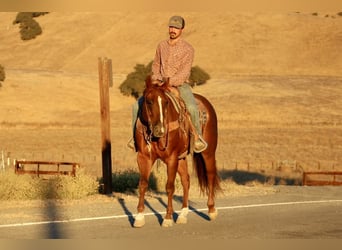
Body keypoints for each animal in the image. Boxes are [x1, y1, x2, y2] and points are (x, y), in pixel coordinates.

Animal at [132, 75, 220, 228]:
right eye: (149, 102)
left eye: (166, 103)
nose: (160, 130)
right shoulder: (144, 157)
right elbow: (143, 184)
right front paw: (139, 217)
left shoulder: (171, 158)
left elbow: (169, 187)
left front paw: (167, 217)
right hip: (181, 158)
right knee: (186, 180)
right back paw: (183, 214)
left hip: (208, 152)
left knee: (210, 175)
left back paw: (211, 210)